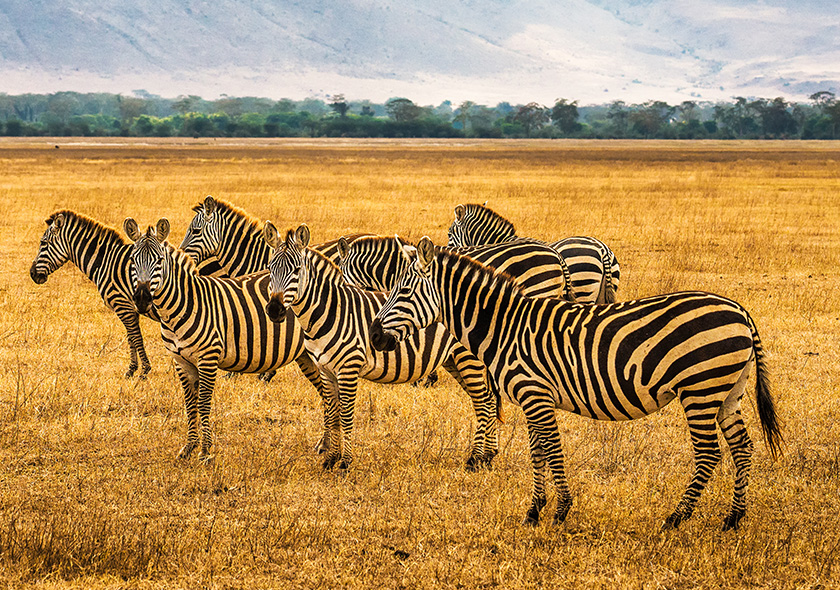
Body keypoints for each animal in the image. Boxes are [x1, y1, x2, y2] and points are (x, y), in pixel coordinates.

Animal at [29, 212, 158, 380]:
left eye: (43, 243)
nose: (32, 274)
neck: (106, 263)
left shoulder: (123, 305)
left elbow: (136, 337)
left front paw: (144, 371)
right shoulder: (129, 308)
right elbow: (131, 338)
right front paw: (132, 370)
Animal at [123, 220, 324, 464]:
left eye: (159, 260)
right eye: (132, 260)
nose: (142, 299)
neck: (183, 306)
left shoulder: (208, 358)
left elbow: (203, 403)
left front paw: (205, 451)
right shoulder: (181, 361)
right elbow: (189, 404)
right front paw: (189, 447)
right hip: (306, 356)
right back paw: (323, 444)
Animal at [264, 224, 498, 474]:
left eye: (297, 270)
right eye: (270, 268)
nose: (274, 309)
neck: (328, 311)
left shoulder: (349, 368)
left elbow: (346, 414)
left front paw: (345, 463)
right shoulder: (325, 369)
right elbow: (333, 413)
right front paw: (330, 460)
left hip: (468, 359)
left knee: (483, 402)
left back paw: (476, 459)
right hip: (453, 360)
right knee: (488, 400)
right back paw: (489, 456)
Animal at [370, 238, 784, 536]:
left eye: (403, 293)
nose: (374, 336)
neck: (505, 327)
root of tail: (740, 311)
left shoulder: (535, 395)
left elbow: (552, 451)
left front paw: (561, 509)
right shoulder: (531, 398)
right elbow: (537, 452)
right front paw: (534, 510)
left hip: (701, 389)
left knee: (709, 453)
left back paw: (676, 517)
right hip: (728, 391)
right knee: (742, 447)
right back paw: (733, 518)